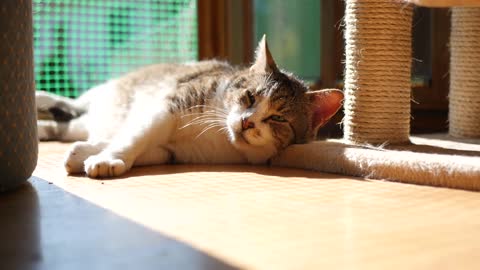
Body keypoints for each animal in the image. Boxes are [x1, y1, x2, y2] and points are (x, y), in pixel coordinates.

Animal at [37, 36, 344, 179]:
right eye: (249, 97)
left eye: (278, 118)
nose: (247, 121)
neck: (221, 137)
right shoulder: (169, 106)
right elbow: (134, 137)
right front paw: (107, 158)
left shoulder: (174, 151)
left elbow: (146, 148)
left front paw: (86, 153)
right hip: (108, 91)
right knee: (77, 102)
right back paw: (42, 98)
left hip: (87, 121)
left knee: (70, 125)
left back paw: (47, 128)